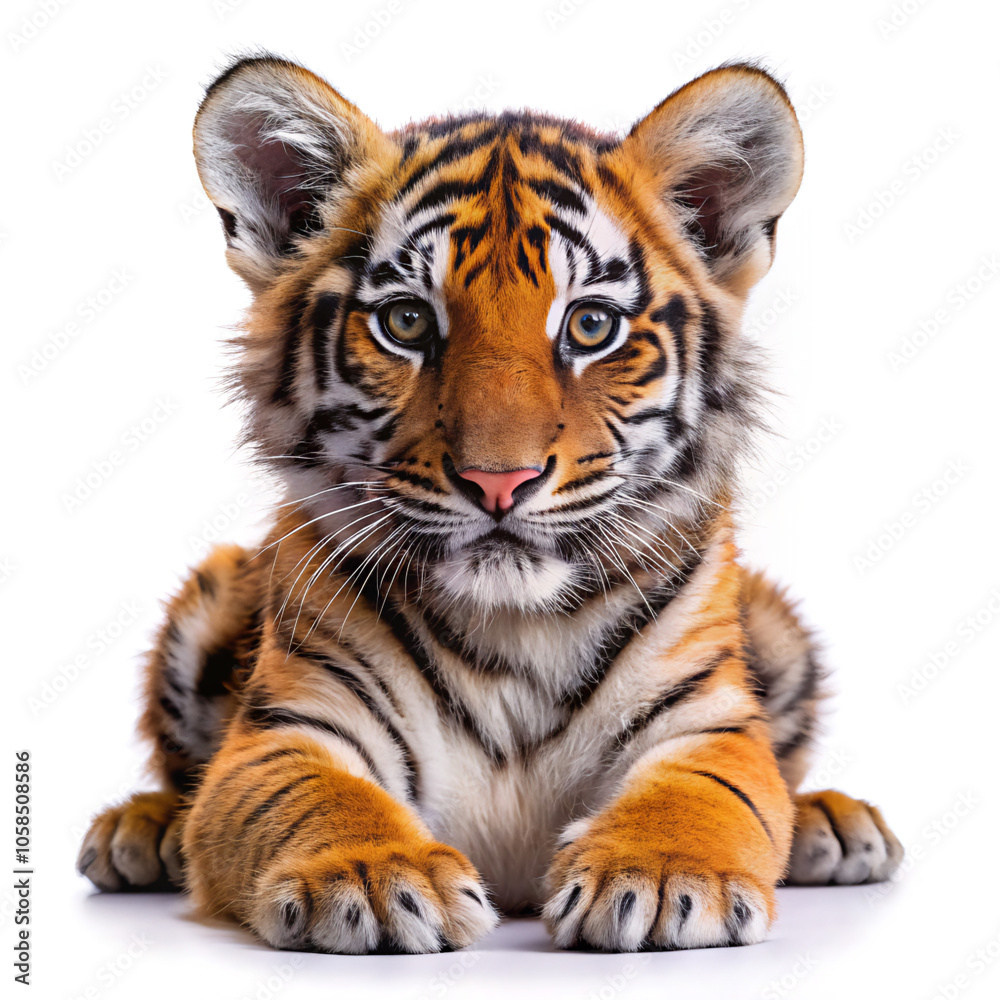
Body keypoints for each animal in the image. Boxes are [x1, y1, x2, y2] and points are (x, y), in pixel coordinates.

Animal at [77, 55, 903, 954]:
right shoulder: (293, 726)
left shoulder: (706, 724)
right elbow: (313, 798)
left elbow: (711, 793)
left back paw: (832, 822)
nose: (498, 480)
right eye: (407, 321)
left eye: (590, 326)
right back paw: (141, 829)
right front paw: (375, 876)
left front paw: (658, 874)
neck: (515, 626)